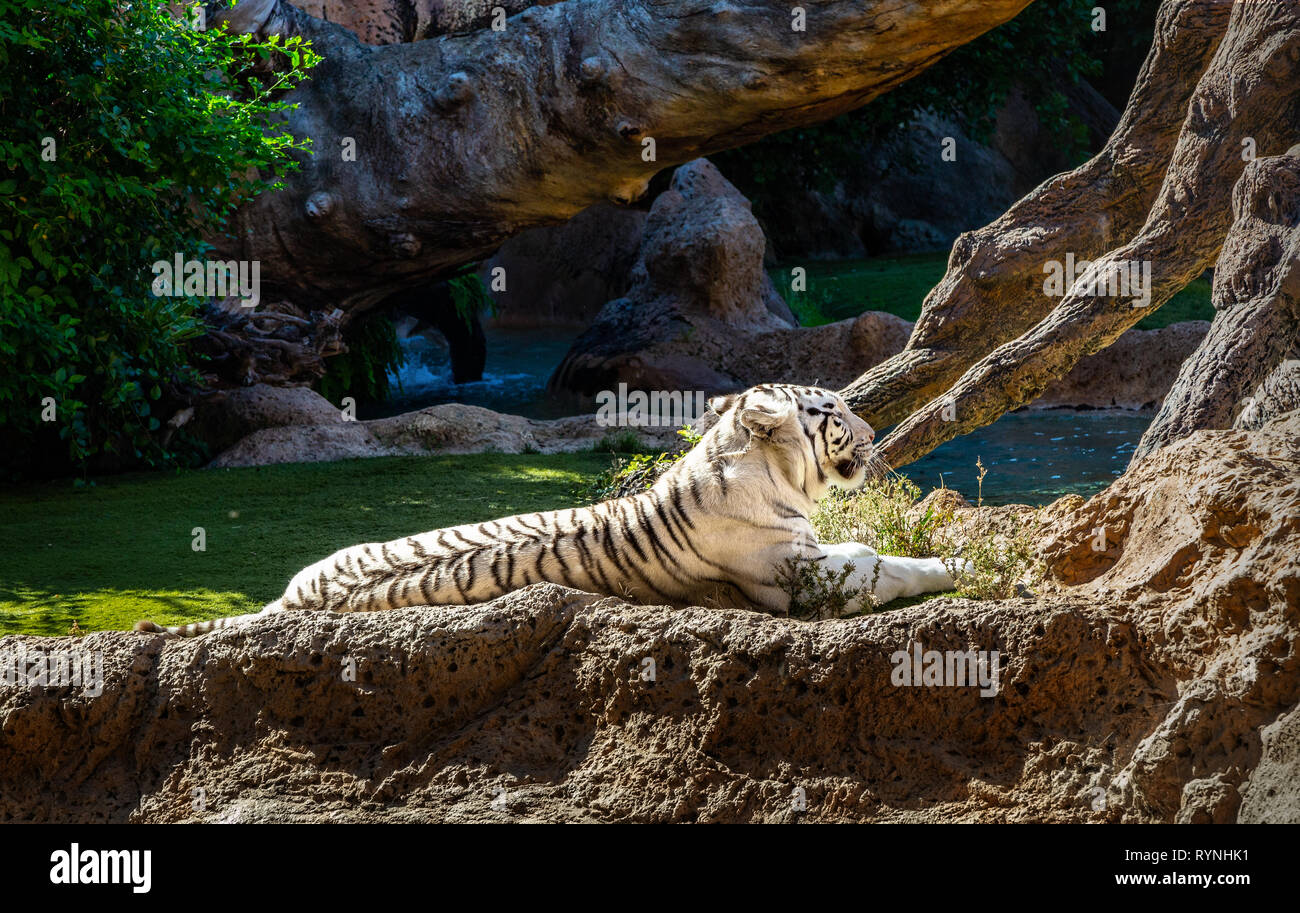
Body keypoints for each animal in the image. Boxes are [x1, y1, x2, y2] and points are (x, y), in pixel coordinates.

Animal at [135, 383, 966, 637]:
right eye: (835, 412)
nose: (871, 433)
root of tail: (284, 599)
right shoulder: (804, 576)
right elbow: (880, 564)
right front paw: (954, 563)